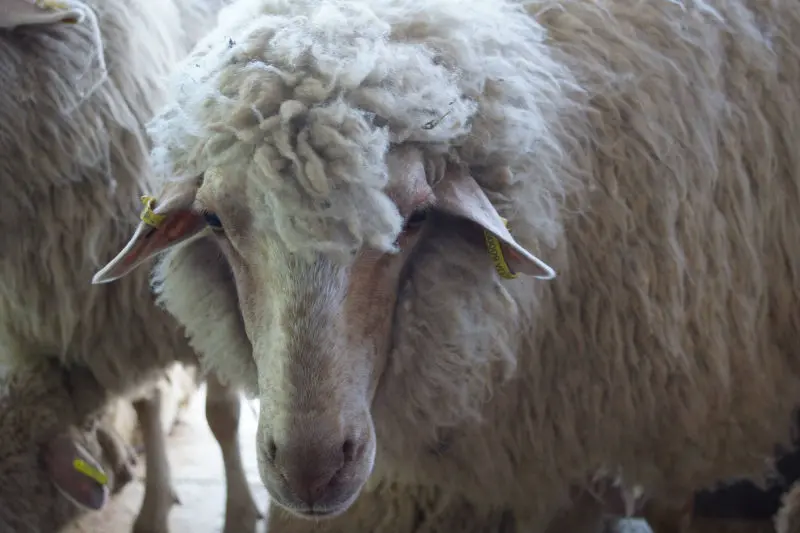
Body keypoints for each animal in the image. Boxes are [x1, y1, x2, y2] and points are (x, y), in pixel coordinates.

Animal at [0, 0, 263, 532]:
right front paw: (153, 506)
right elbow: (146, 406)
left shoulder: (209, 299)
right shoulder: (112, 320)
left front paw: (241, 512)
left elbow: (222, 416)